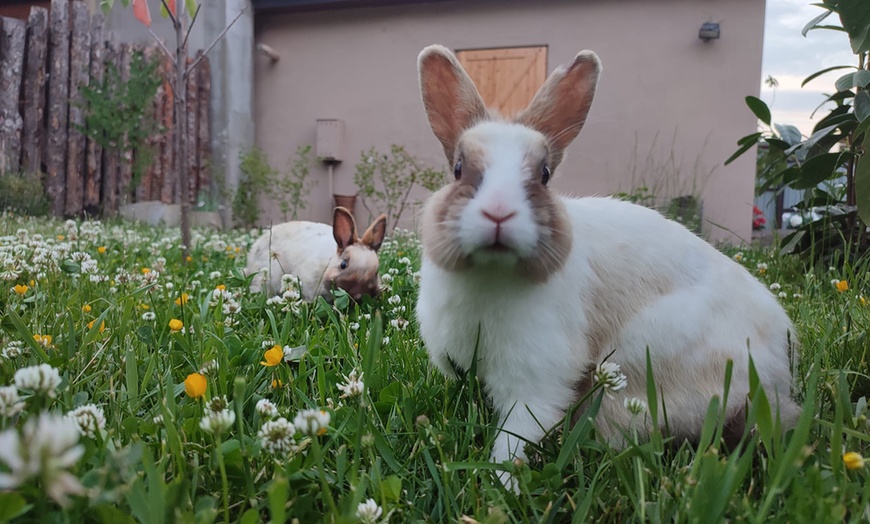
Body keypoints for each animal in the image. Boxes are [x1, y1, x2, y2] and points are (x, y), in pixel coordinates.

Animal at [412, 46, 800, 470]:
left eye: (544, 174)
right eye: (458, 169)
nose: (499, 213)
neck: (490, 274)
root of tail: (777, 378)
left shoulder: (537, 376)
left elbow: (518, 433)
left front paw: (502, 477)